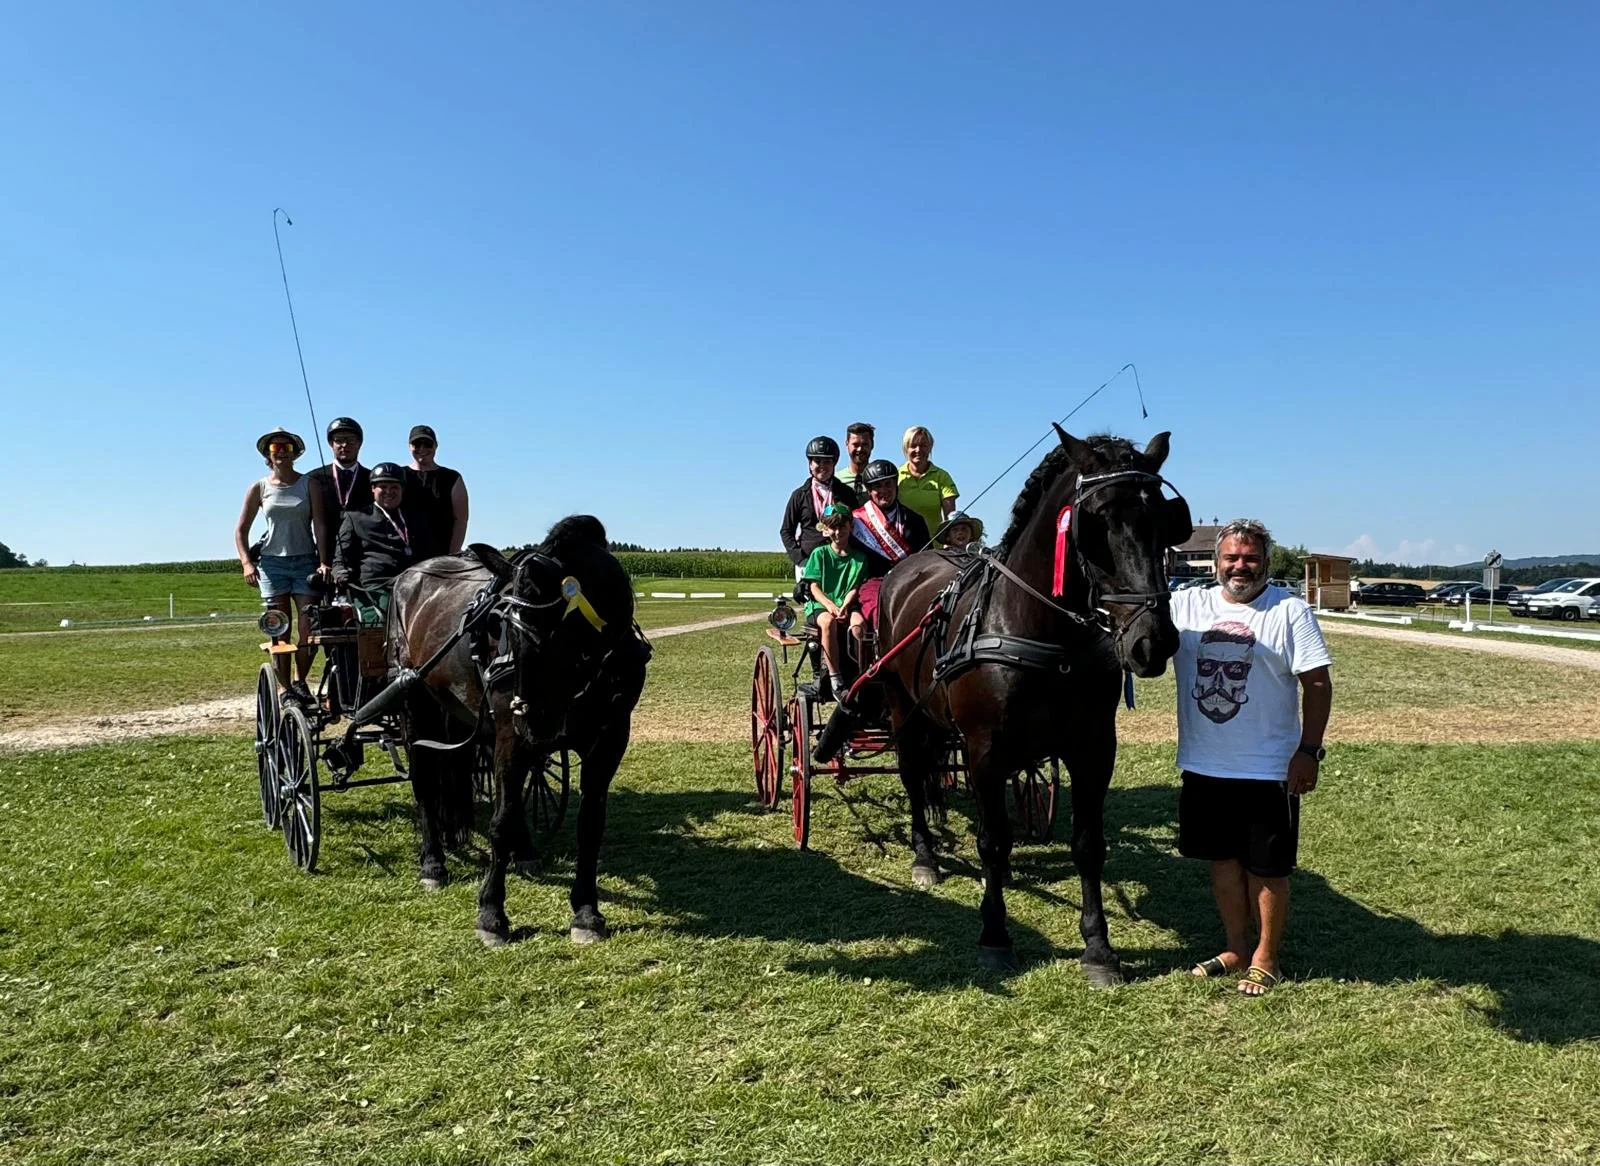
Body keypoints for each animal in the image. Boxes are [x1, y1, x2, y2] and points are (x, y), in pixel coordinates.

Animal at [387, 518, 649, 946]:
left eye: (561, 628)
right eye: (497, 624)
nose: (532, 719)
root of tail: (408, 577)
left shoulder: (609, 740)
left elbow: (590, 824)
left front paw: (586, 912)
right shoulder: (510, 736)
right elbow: (501, 821)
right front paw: (492, 913)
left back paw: (524, 851)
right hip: (417, 705)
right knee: (425, 783)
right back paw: (432, 862)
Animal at [870, 428, 1184, 985]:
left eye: (1164, 520)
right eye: (1096, 522)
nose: (1154, 641)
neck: (1046, 635)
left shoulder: (1093, 749)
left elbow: (1087, 845)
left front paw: (1098, 947)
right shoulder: (985, 749)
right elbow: (992, 841)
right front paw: (995, 935)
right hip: (904, 707)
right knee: (913, 775)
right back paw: (925, 855)